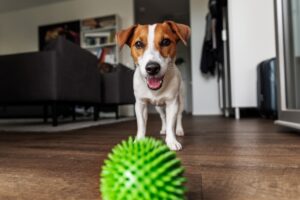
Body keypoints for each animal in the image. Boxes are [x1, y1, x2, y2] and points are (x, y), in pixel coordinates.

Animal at [116, 21, 191, 150]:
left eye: (166, 42)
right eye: (138, 44)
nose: (152, 68)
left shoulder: (172, 103)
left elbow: (172, 122)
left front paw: (172, 141)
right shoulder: (140, 104)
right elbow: (141, 125)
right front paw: (139, 140)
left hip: (180, 100)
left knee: (179, 116)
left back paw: (179, 130)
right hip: (158, 107)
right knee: (163, 117)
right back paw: (164, 129)